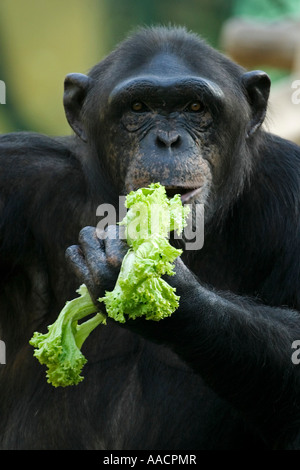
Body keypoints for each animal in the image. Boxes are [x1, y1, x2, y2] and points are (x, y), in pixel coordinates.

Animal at [0, 26, 300, 452]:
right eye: (139, 108)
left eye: (196, 107)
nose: (168, 139)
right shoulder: (16, 172)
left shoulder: (291, 185)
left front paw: (164, 285)